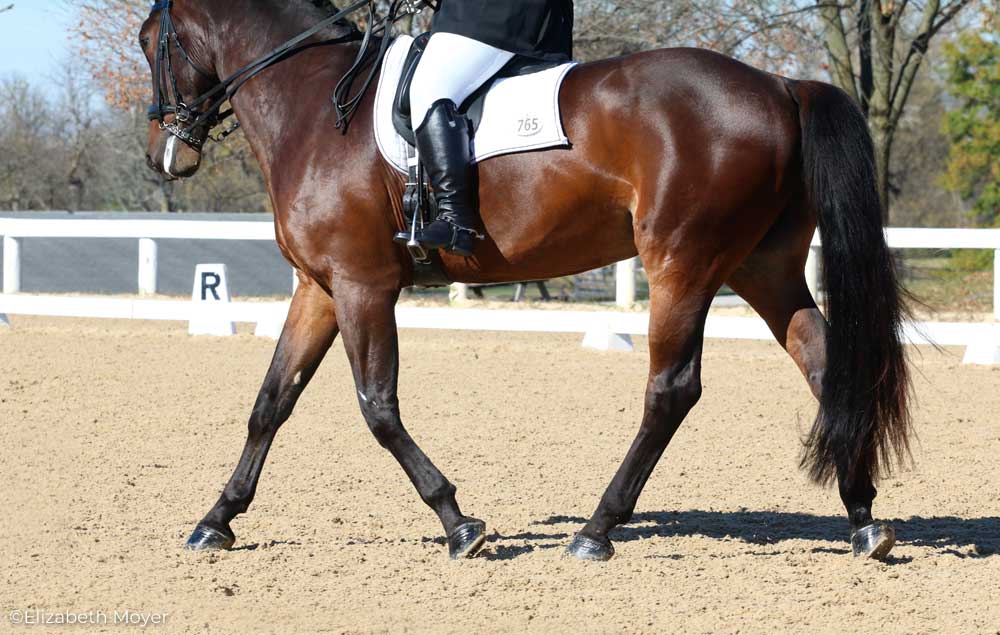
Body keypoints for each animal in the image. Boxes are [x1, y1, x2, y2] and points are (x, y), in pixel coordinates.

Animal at [139, 0, 916, 560]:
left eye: (151, 43)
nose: (162, 156)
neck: (315, 106)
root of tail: (782, 85)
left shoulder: (363, 285)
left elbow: (378, 408)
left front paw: (458, 522)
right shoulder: (321, 287)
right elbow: (271, 402)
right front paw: (216, 520)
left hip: (682, 262)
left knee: (672, 389)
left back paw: (596, 530)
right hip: (764, 267)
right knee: (827, 367)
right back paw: (863, 521)